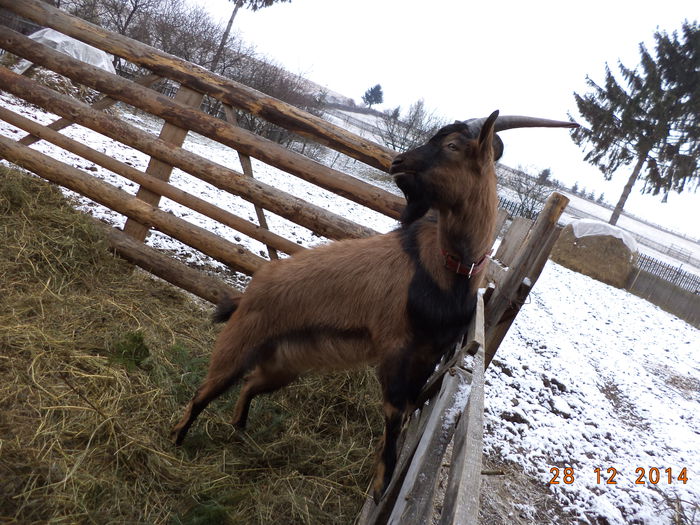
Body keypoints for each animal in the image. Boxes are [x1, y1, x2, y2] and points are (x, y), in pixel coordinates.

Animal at [170, 109, 576, 500]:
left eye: (452, 146)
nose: (398, 162)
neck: (446, 269)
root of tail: (253, 287)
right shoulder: (395, 345)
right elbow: (394, 409)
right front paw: (383, 483)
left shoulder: (431, 351)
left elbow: (409, 406)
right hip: (239, 343)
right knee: (206, 390)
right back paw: (176, 440)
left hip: (284, 362)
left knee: (250, 383)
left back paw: (239, 429)